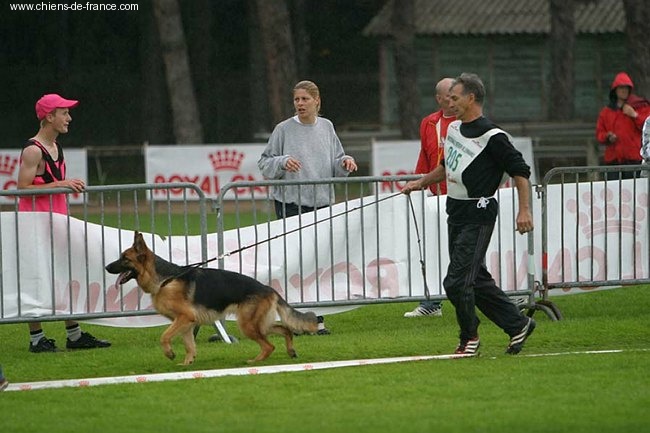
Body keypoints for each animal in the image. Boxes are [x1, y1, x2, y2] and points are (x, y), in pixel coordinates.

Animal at [105, 231, 318, 362]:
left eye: (125, 258)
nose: (106, 267)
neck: (165, 279)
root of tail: (268, 289)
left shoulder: (184, 318)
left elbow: (164, 336)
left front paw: (170, 353)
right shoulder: (186, 323)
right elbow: (190, 345)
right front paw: (187, 364)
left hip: (247, 325)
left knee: (269, 346)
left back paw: (254, 361)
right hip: (259, 324)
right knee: (285, 330)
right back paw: (290, 351)